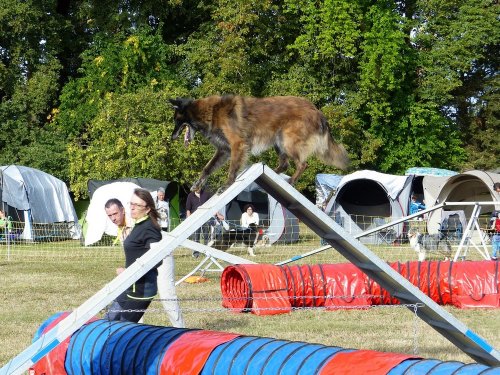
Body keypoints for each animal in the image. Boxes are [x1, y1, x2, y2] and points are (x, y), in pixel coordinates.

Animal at [170, 95, 350, 192]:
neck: (212, 112)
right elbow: (207, 168)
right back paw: (274, 174)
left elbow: (232, 169)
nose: (172, 137)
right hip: (278, 142)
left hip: (286, 140)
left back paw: (290, 181)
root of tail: (316, 110)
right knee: (285, 164)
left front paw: (227, 185)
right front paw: (197, 184)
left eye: (177, 121)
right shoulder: (224, 150)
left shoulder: (237, 145)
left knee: (302, 164)